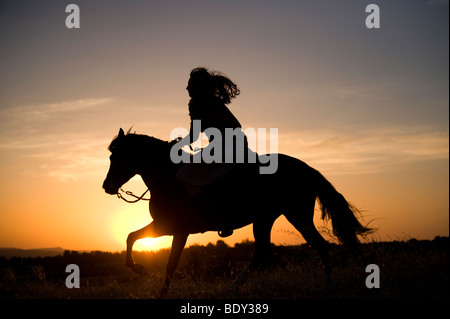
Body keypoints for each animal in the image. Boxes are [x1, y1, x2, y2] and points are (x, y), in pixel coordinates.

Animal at [103, 129, 372, 296]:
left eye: (116, 157)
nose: (107, 186)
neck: (169, 177)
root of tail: (307, 168)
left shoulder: (174, 228)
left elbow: (167, 262)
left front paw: (142, 272)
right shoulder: (167, 227)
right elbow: (133, 238)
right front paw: (142, 273)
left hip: (296, 216)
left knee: (319, 246)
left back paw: (326, 287)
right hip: (267, 219)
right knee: (263, 254)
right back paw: (232, 288)